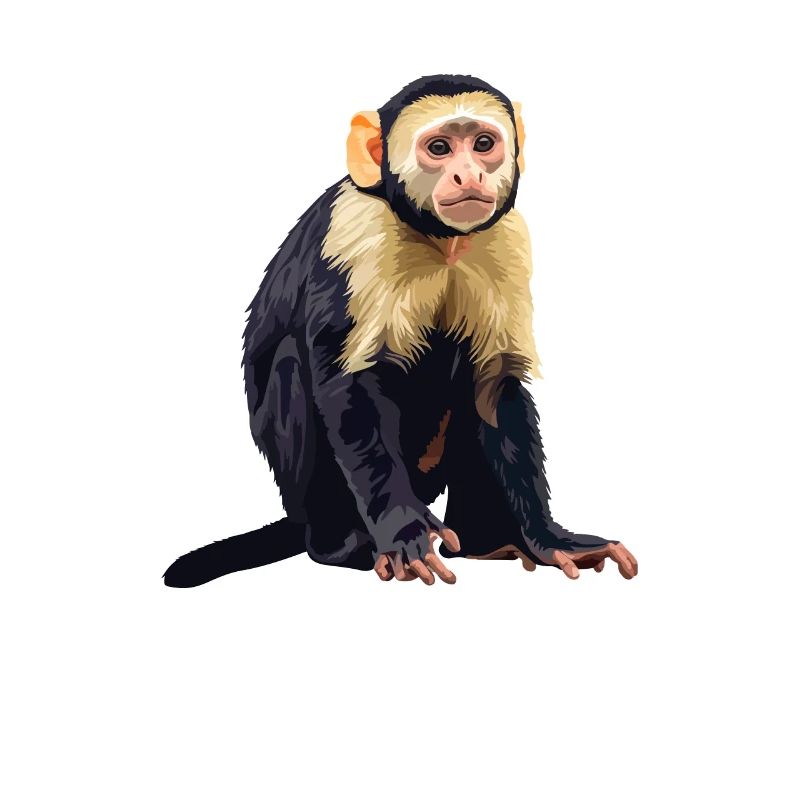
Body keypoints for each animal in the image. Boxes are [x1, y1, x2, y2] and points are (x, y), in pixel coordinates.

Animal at [163, 74, 638, 588]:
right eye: (440, 147)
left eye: (483, 144)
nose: (469, 175)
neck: (437, 238)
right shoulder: (356, 229)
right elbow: (348, 384)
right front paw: (404, 530)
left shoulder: (506, 235)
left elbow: (495, 385)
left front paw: (548, 539)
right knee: (292, 363)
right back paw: (340, 545)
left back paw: (487, 541)